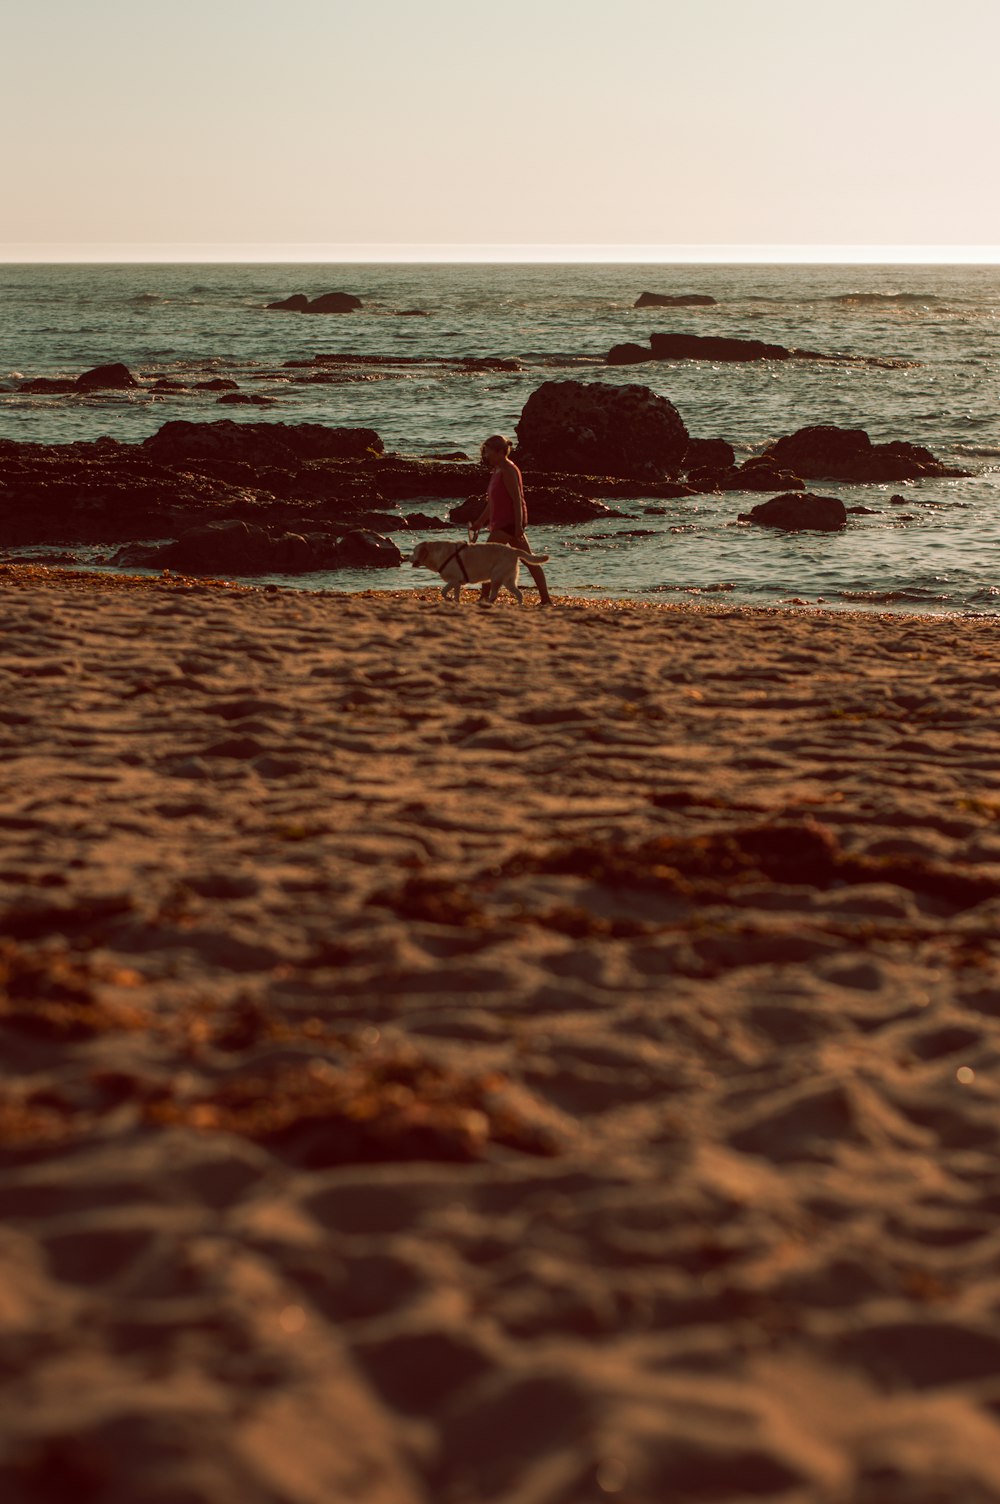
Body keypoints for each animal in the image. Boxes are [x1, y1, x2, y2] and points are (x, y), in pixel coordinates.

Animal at [409, 538, 550, 601]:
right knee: (519, 594)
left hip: (496, 577)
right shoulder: (456, 583)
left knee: (494, 595)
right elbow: (450, 594)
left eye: (414, 551)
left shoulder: (454, 580)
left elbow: (444, 592)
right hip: (508, 580)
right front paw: (453, 600)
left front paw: (450, 599)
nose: (407, 557)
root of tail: (514, 551)